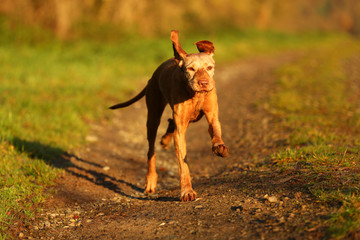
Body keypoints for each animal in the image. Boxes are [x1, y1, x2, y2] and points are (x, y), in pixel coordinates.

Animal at [109, 31, 229, 202]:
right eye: (191, 69)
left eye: (209, 67)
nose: (204, 83)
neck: (195, 95)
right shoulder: (180, 133)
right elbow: (183, 163)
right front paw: (187, 191)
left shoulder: (212, 116)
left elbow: (216, 132)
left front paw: (219, 147)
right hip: (153, 117)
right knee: (151, 151)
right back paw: (151, 180)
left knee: (172, 122)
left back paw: (166, 140)